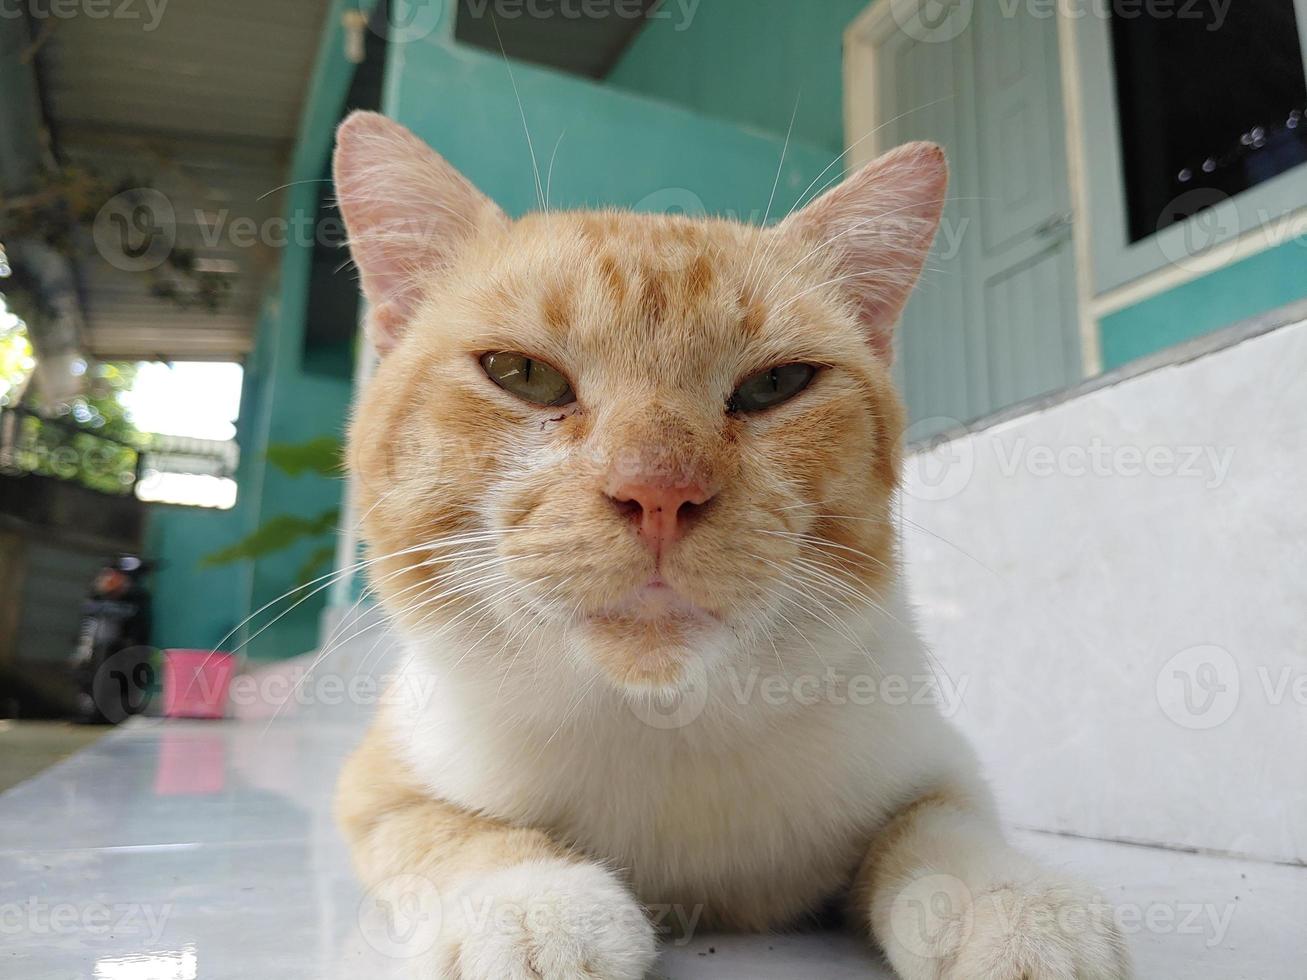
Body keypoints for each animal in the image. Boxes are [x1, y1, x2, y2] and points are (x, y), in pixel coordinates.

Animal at [329, 111, 1134, 980]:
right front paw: (530, 906)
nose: (659, 490)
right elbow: (442, 830)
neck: (663, 723)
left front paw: (1010, 905)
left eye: (775, 385)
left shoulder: (939, 763)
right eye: (521, 374)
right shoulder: (379, 779)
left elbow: (939, 824)